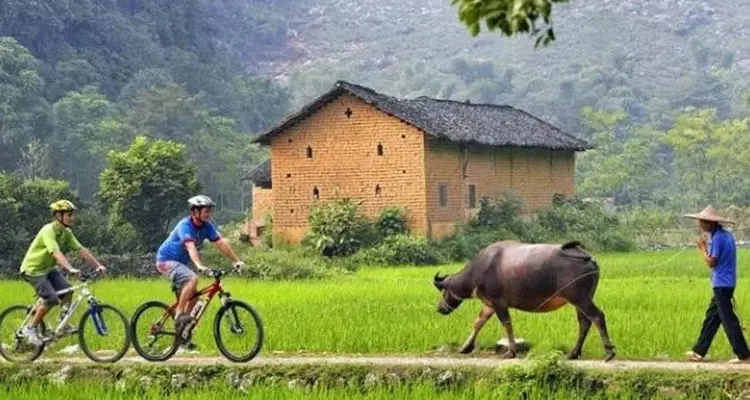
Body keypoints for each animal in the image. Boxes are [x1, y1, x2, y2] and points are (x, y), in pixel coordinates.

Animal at [434, 241, 616, 362]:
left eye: (443, 291)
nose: (440, 309)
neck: (480, 269)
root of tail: (588, 257)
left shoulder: (498, 302)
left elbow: (506, 324)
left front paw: (511, 351)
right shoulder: (490, 304)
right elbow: (478, 322)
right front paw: (465, 347)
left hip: (579, 298)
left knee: (597, 316)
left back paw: (608, 352)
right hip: (580, 300)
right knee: (584, 322)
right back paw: (573, 353)